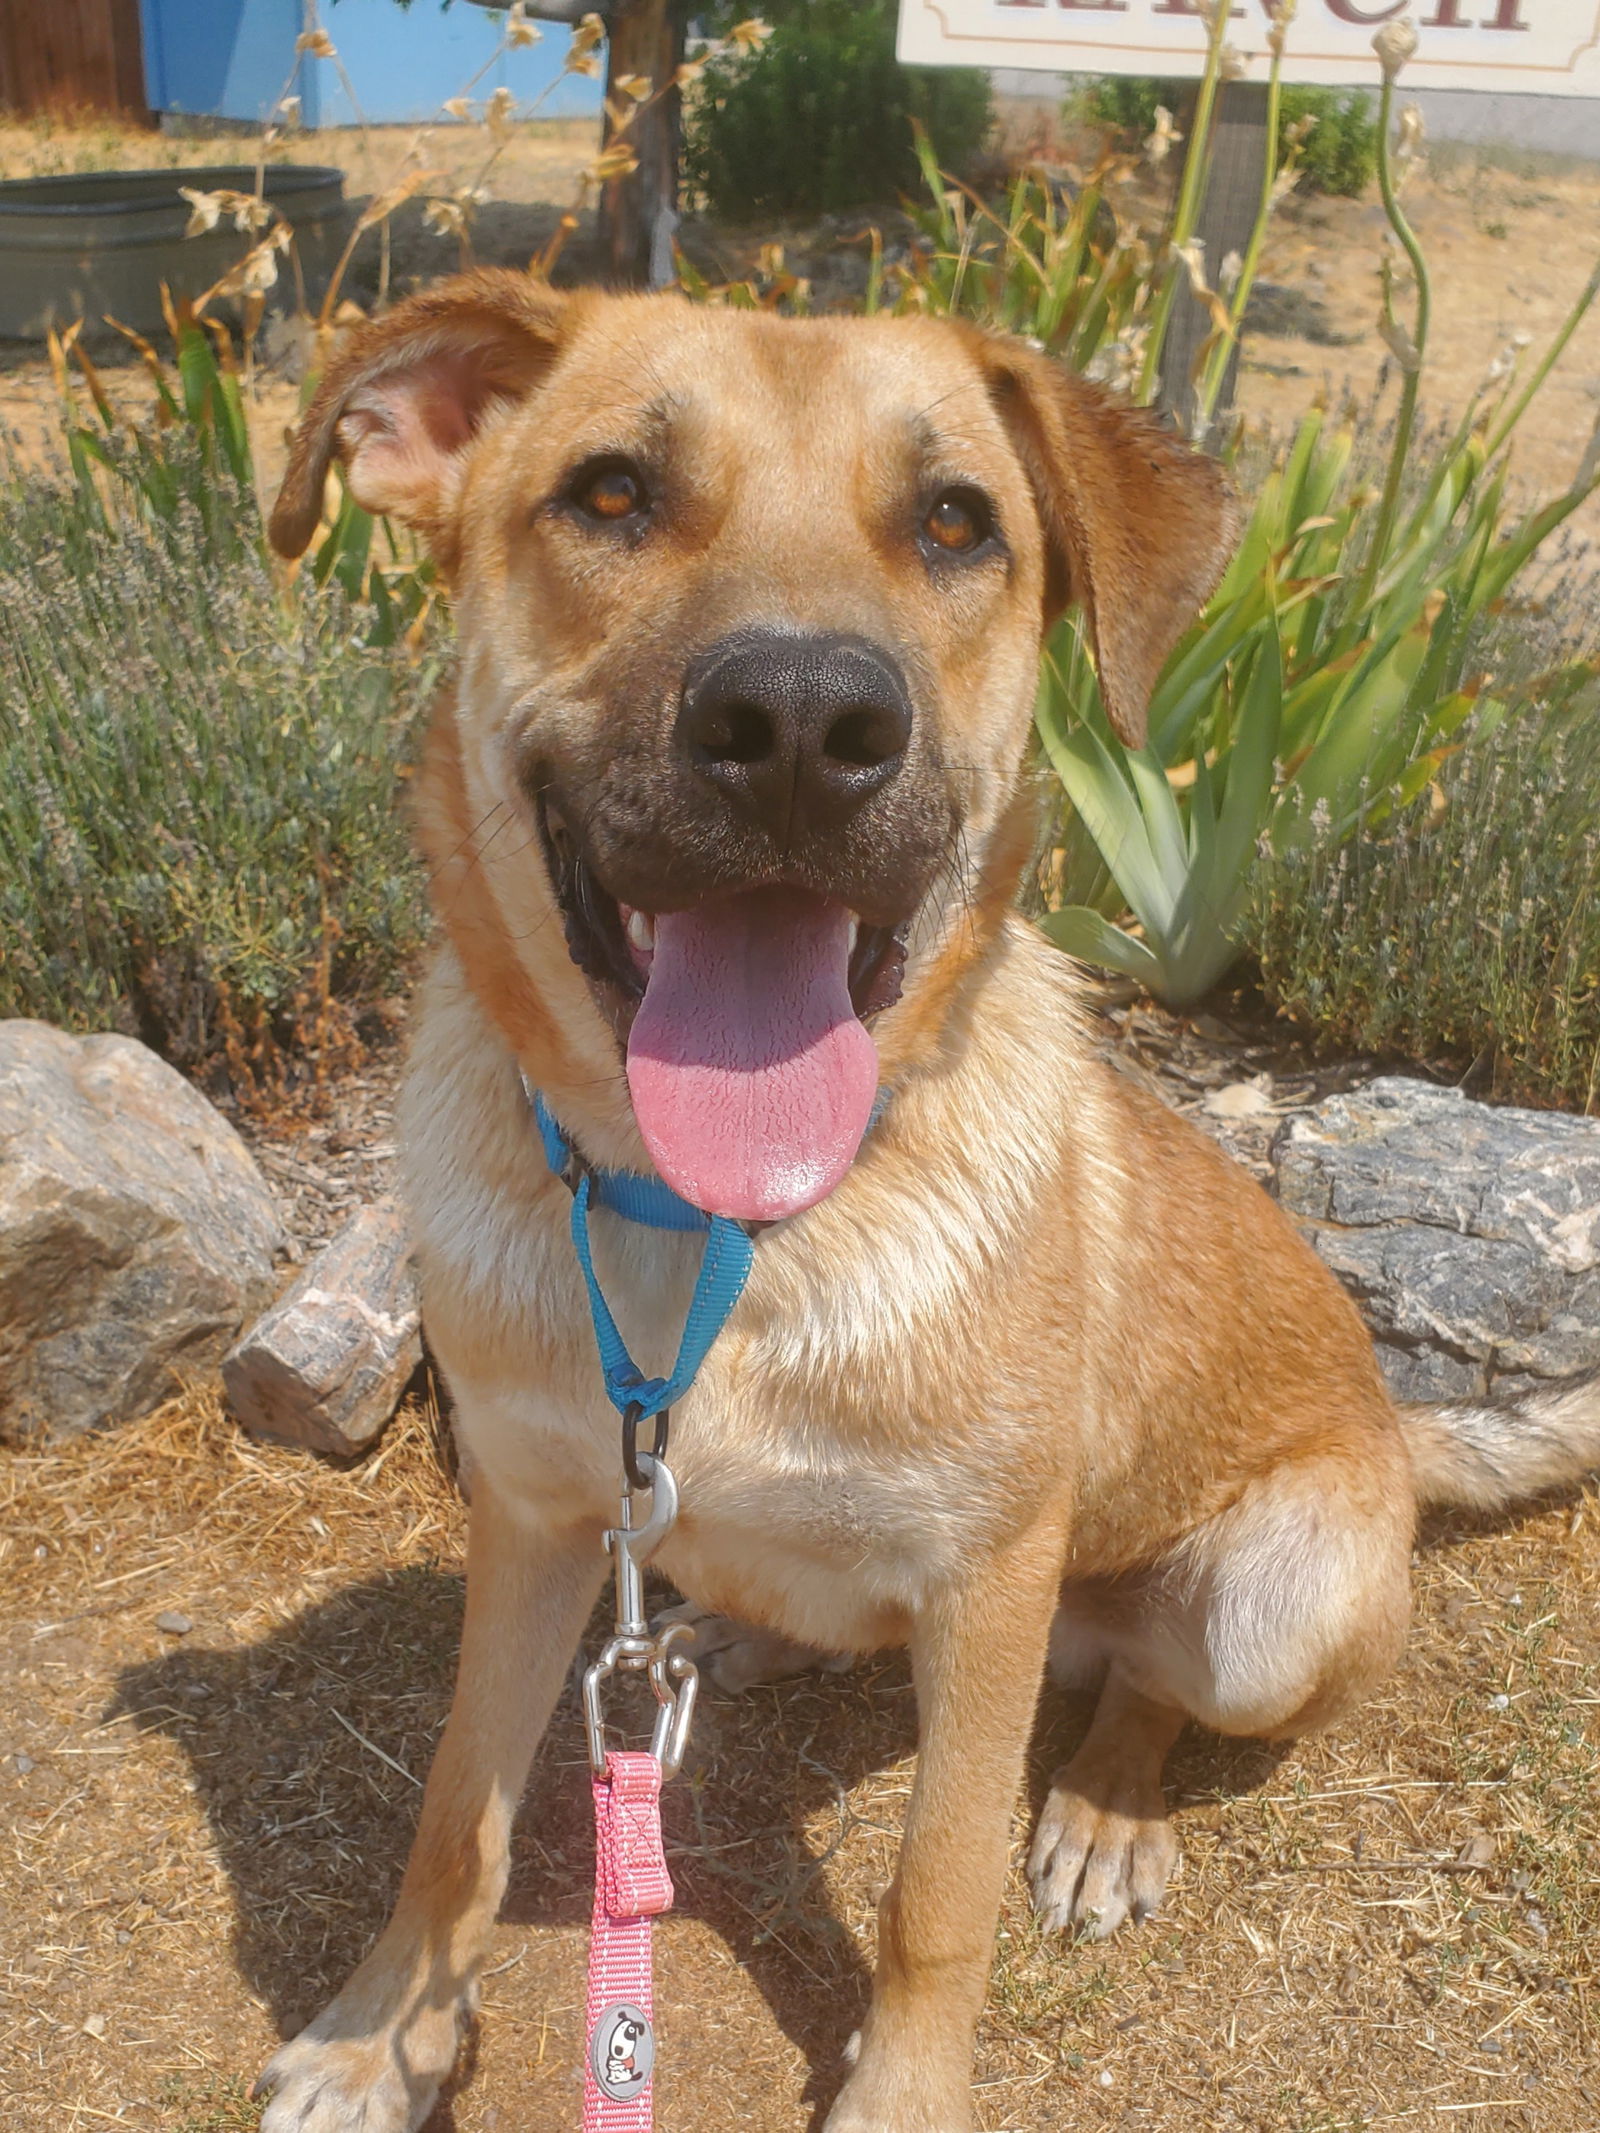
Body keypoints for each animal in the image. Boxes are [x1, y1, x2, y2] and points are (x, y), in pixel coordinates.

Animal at [257, 275, 1600, 2124]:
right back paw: (744, 1632)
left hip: (1265, 1604)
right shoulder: (534, 1523)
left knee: (1150, 1681)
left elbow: (934, 1886)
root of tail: (1401, 1439)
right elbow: (456, 1812)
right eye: (610, 493)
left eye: (958, 523)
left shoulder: (986, 1578)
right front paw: (381, 2033)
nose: (800, 729)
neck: (716, 1232)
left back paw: (1106, 1803)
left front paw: (901, 2087)